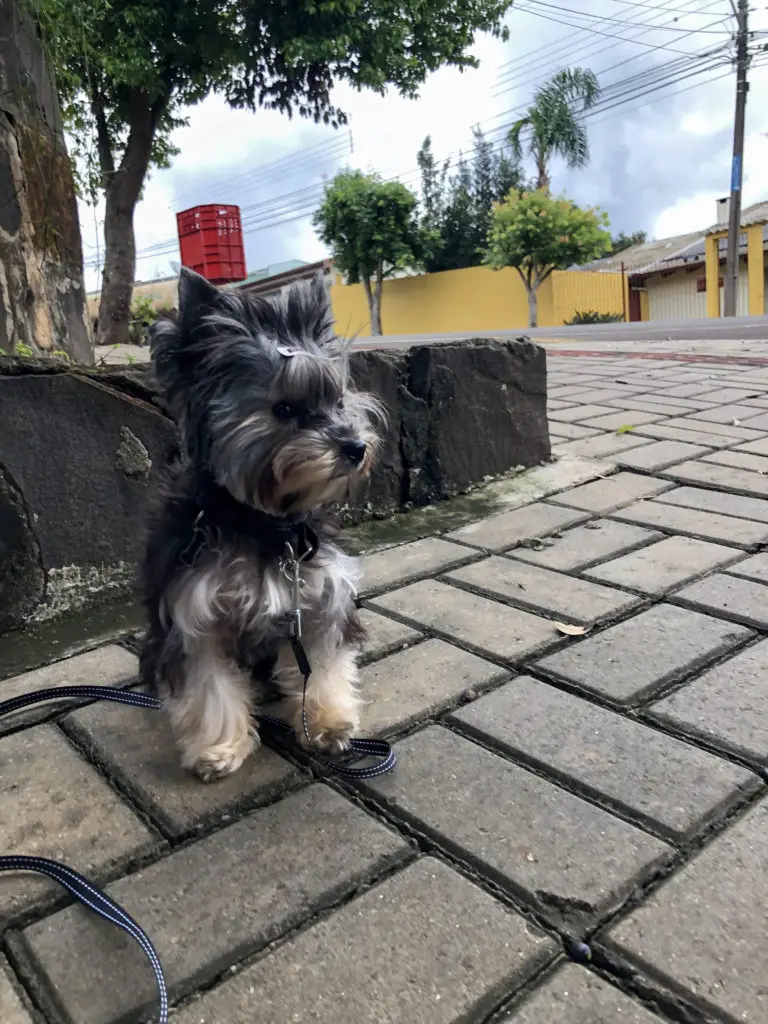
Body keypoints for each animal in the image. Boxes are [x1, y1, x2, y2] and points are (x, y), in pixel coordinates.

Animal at [139, 268, 385, 778]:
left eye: (337, 400)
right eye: (284, 409)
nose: (356, 447)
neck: (264, 523)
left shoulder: (317, 599)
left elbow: (324, 663)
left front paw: (328, 722)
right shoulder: (192, 612)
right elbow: (208, 681)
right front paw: (219, 749)